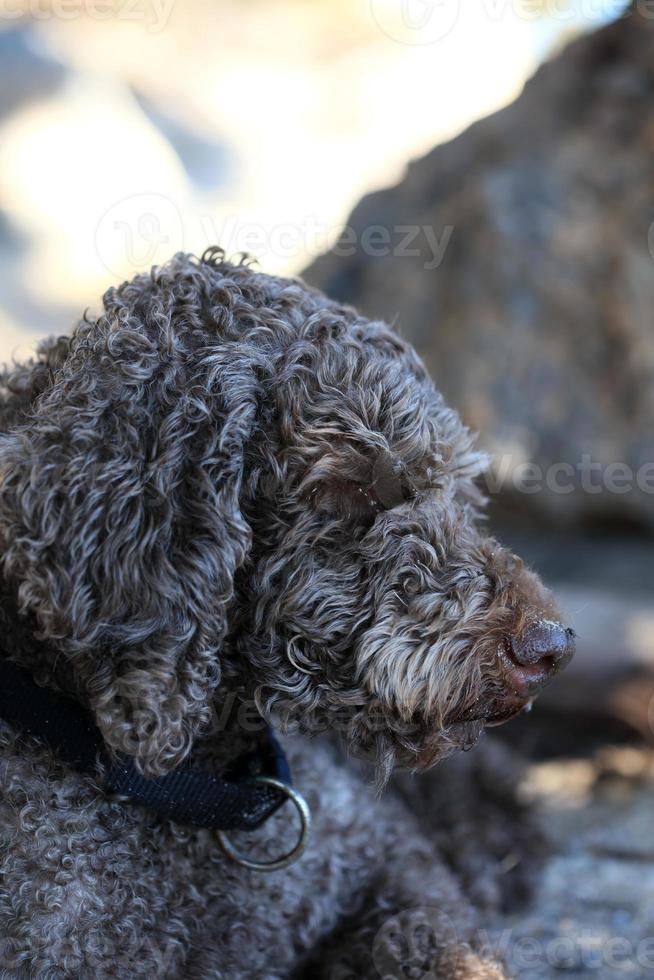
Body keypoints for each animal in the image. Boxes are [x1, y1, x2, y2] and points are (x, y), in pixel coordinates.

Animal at [0, 249, 576, 976]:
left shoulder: (388, 858)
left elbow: (439, 940)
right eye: (355, 483)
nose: (552, 646)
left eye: (454, 485)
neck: (202, 786)